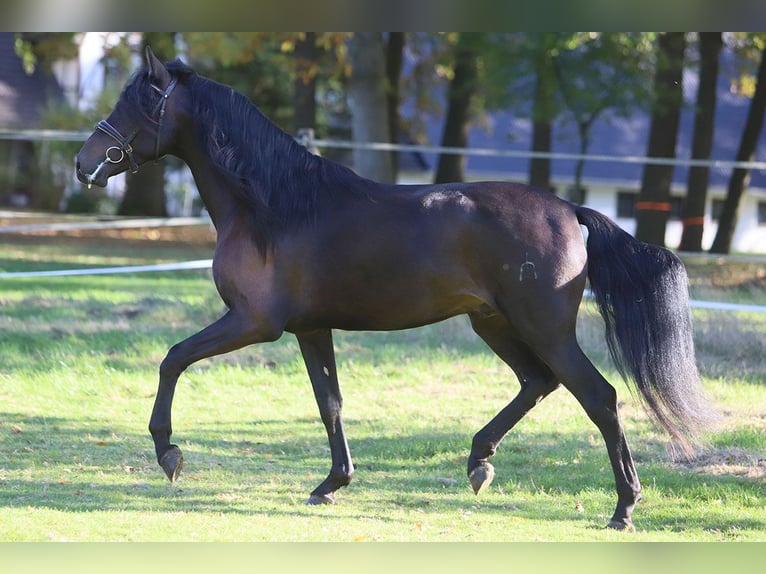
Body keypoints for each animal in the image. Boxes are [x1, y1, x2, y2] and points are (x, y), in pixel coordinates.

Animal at [76, 47, 713, 532]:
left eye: (135, 103)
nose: (85, 165)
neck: (271, 205)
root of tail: (568, 210)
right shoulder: (310, 328)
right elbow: (329, 403)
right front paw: (332, 484)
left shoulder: (254, 323)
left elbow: (172, 359)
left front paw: (168, 453)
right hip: (494, 322)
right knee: (539, 382)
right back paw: (479, 463)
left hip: (542, 327)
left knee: (598, 397)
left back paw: (623, 509)